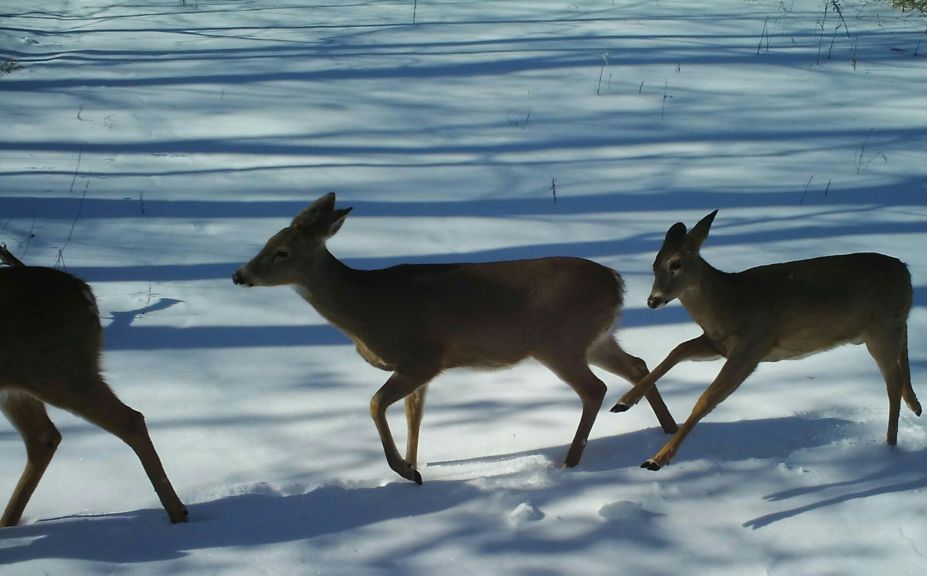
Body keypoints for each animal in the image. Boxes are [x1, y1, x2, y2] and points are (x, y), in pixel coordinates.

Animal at [0, 249, 188, 528]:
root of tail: (83, 289)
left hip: (59, 370)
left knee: (130, 419)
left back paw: (178, 514)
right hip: (24, 384)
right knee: (44, 436)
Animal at [236, 191, 676, 484]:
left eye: (282, 251)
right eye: (267, 242)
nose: (239, 274)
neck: (366, 306)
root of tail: (616, 282)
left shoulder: (423, 357)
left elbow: (376, 404)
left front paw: (402, 470)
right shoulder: (422, 369)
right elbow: (413, 417)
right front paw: (413, 468)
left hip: (560, 341)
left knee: (594, 388)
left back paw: (569, 463)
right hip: (595, 338)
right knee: (636, 365)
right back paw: (669, 430)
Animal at [608, 209, 920, 470]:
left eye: (676, 264)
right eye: (654, 264)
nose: (652, 301)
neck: (727, 303)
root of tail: (906, 271)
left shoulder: (751, 346)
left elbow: (706, 399)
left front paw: (657, 459)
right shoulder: (718, 343)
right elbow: (678, 349)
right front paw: (623, 402)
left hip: (881, 330)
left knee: (892, 381)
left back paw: (890, 446)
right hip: (888, 327)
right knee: (902, 360)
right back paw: (914, 407)